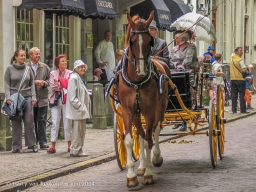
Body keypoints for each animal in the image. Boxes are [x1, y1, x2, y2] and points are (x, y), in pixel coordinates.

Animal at [117, 10, 170, 188]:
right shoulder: (128, 111)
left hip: (161, 107)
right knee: (140, 134)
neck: (136, 82)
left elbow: (148, 139)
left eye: (150, 41)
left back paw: (156, 158)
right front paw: (132, 176)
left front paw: (148, 173)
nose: (141, 71)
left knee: (155, 130)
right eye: (132, 41)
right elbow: (129, 140)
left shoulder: (149, 110)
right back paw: (140, 165)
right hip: (136, 114)